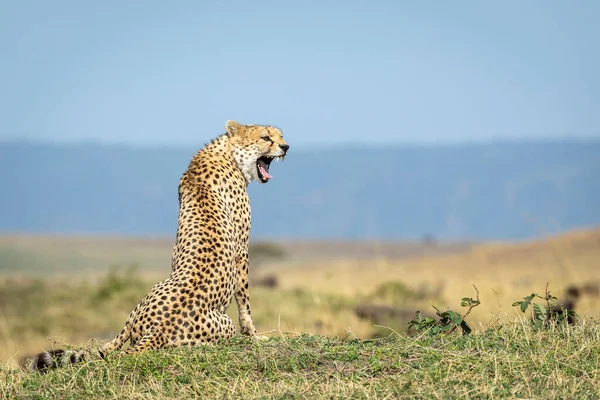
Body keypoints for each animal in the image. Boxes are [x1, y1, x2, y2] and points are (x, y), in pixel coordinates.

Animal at [29, 119, 290, 372]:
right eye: (266, 137)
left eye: (281, 135)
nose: (286, 147)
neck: (228, 154)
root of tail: (159, 328)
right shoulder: (241, 250)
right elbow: (244, 301)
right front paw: (254, 335)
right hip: (224, 325)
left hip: (145, 299)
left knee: (114, 343)